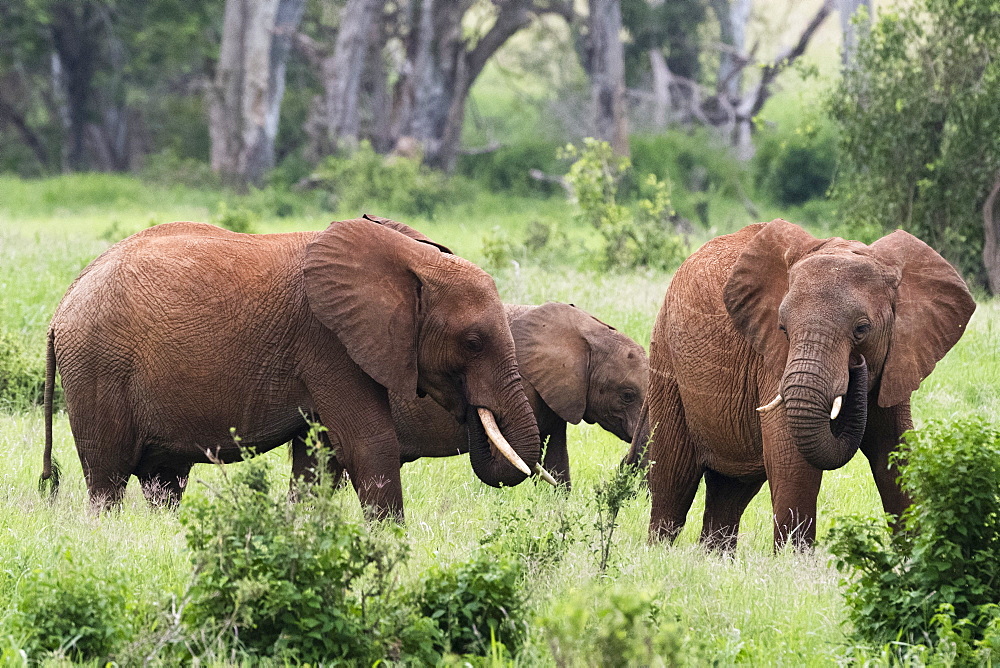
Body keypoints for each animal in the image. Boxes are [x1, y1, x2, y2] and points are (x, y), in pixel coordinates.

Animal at [43, 217, 552, 520]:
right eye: (473, 343)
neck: (409, 257)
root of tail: (62, 306)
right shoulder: (328, 343)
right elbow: (368, 443)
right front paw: (390, 538)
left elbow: (319, 456)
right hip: (97, 367)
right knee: (107, 476)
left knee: (164, 480)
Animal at [628, 222, 972, 552]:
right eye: (783, 328)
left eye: (862, 329)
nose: (857, 366)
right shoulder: (772, 360)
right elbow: (793, 460)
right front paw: (793, 563)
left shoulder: (897, 358)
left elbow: (897, 453)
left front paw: (914, 557)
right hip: (666, 359)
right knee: (674, 477)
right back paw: (659, 552)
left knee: (730, 490)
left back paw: (714, 559)